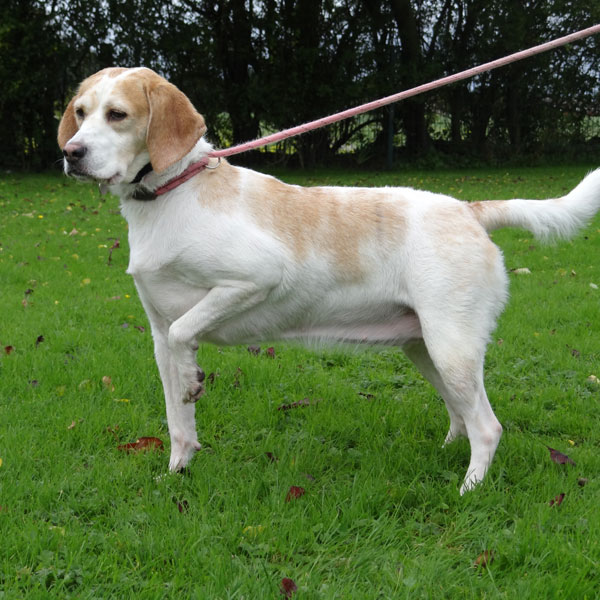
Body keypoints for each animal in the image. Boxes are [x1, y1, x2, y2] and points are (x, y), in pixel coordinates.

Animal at [58, 68, 600, 494]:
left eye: (118, 115)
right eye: (81, 112)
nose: (71, 152)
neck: (170, 194)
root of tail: (470, 209)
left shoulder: (253, 279)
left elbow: (184, 333)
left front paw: (194, 380)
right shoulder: (156, 336)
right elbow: (177, 419)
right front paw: (177, 471)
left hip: (452, 349)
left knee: (486, 427)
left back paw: (470, 489)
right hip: (427, 350)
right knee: (462, 417)